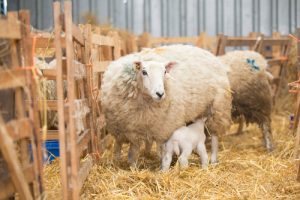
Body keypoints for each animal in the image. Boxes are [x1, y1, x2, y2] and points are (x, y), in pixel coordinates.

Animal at [101, 45, 232, 166]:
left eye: (164, 72)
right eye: (144, 72)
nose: (160, 93)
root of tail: (208, 53)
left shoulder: (163, 129)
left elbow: (160, 151)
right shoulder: (127, 129)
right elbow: (130, 151)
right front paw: (128, 165)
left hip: (218, 108)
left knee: (214, 136)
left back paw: (213, 158)